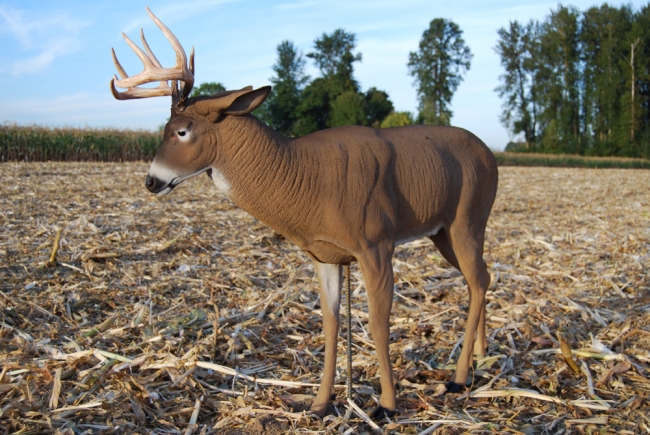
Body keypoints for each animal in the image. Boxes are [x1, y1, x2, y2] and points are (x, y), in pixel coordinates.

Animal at [110, 7, 498, 419]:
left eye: (181, 131)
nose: (151, 181)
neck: (307, 180)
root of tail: (491, 155)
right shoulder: (324, 255)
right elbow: (330, 322)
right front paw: (319, 403)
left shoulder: (376, 241)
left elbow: (378, 322)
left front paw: (387, 405)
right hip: (443, 232)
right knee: (480, 279)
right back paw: (480, 357)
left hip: (468, 217)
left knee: (478, 280)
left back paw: (458, 377)